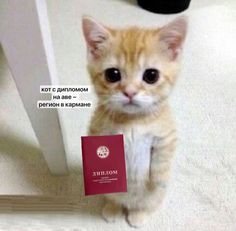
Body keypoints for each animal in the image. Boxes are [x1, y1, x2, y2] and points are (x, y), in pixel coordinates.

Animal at [82, 16, 187, 227]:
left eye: (151, 75)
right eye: (112, 74)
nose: (129, 92)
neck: (133, 121)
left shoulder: (166, 136)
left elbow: (161, 161)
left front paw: (158, 179)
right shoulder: (97, 130)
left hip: (152, 200)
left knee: (145, 204)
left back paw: (138, 215)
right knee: (114, 199)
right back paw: (113, 209)